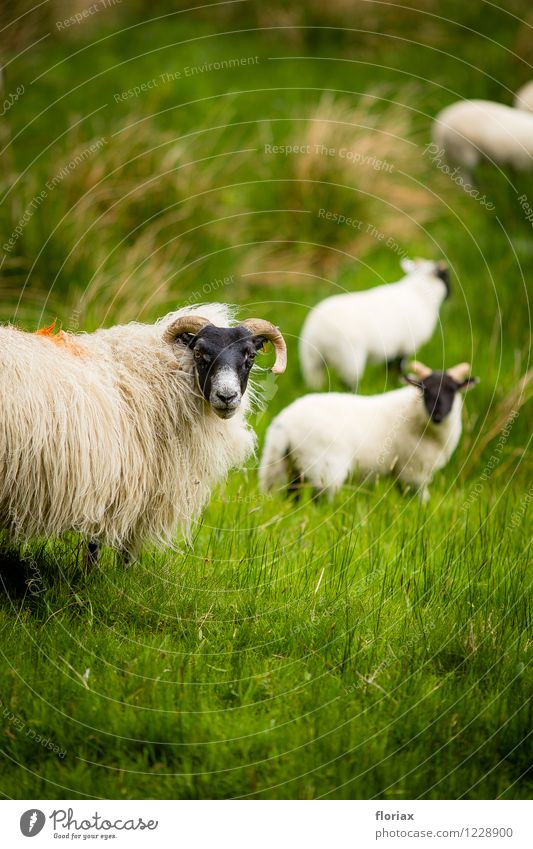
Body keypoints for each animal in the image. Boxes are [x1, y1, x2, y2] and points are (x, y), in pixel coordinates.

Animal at [258, 360, 478, 504]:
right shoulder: (413, 471)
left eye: (453, 390)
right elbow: (418, 499)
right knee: (319, 501)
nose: (438, 415)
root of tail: (285, 425)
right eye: (424, 390)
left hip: (285, 467)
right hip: (324, 468)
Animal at [300, 258, 448, 390]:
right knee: (348, 383)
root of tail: (319, 333)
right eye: (446, 276)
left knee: (315, 382)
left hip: (311, 360)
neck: (420, 292)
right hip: (348, 360)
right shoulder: (406, 346)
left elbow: (389, 366)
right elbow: (396, 368)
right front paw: (396, 383)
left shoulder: (393, 348)